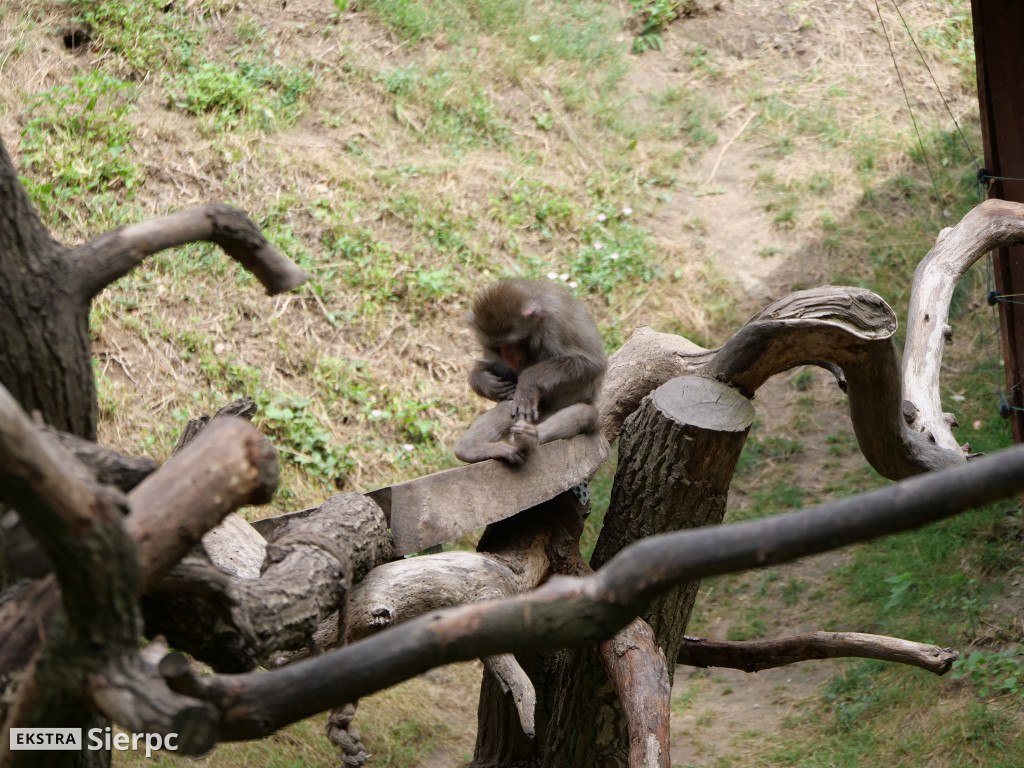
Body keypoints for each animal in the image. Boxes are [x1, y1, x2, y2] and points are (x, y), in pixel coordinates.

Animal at [456, 280, 606, 466]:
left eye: (513, 343)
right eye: (499, 347)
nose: (509, 357)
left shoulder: (555, 326)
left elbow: (591, 364)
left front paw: (528, 382)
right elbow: (492, 368)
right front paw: (486, 383)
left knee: (586, 413)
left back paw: (531, 437)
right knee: (509, 404)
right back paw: (469, 448)